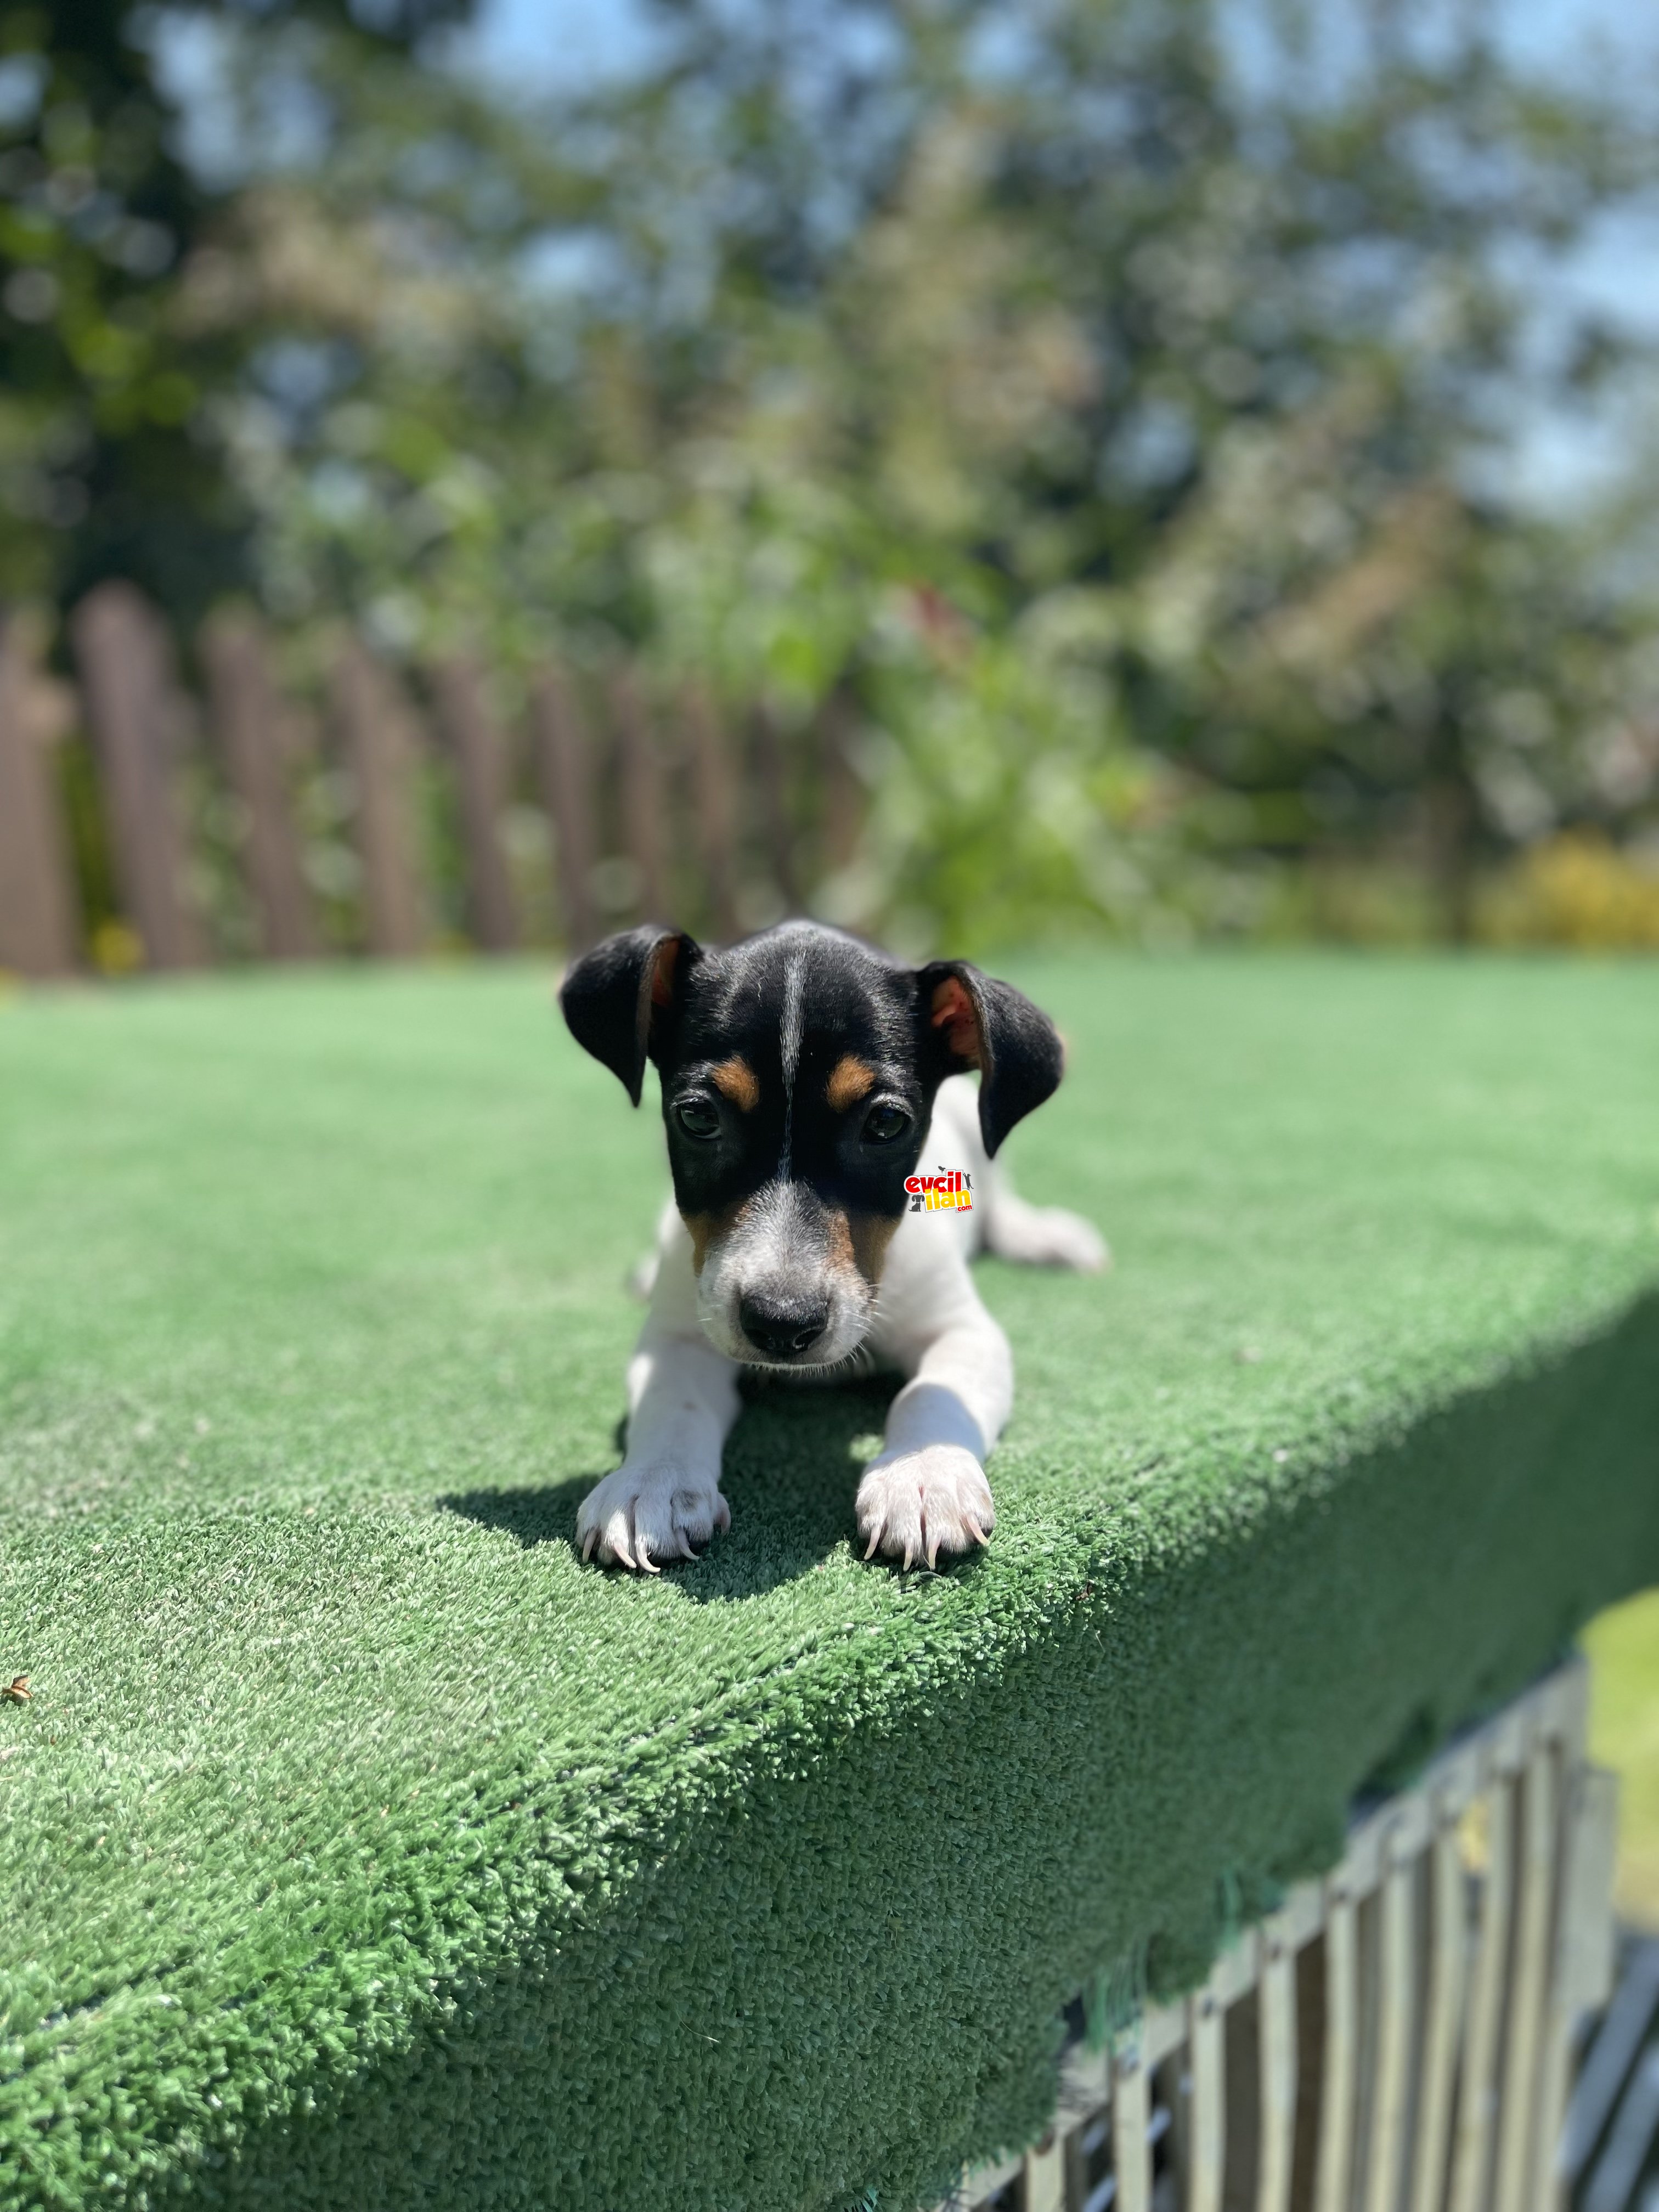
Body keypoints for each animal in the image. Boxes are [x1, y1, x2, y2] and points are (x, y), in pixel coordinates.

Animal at [560, 916, 1106, 1575]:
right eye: (698, 1118)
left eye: (886, 1125)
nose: (781, 1323)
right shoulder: (681, 1337)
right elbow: (672, 1404)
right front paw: (652, 1483)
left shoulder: (964, 1330)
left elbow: (931, 1397)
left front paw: (923, 1475)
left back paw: (1043, 1235)